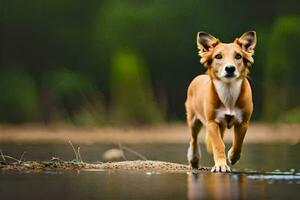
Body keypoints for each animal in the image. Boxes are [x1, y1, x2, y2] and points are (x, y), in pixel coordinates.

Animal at [185, 30, 255, 172]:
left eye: (238, 56)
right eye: (218, 56)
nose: (230, 68)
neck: (228, 91)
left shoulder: (244, 122)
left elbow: (238, 143)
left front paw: (232, 156)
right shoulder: (212, 122)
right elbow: (218, 145)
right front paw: (221, 165)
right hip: (193, 121)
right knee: (193, 139)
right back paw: (194, 160)